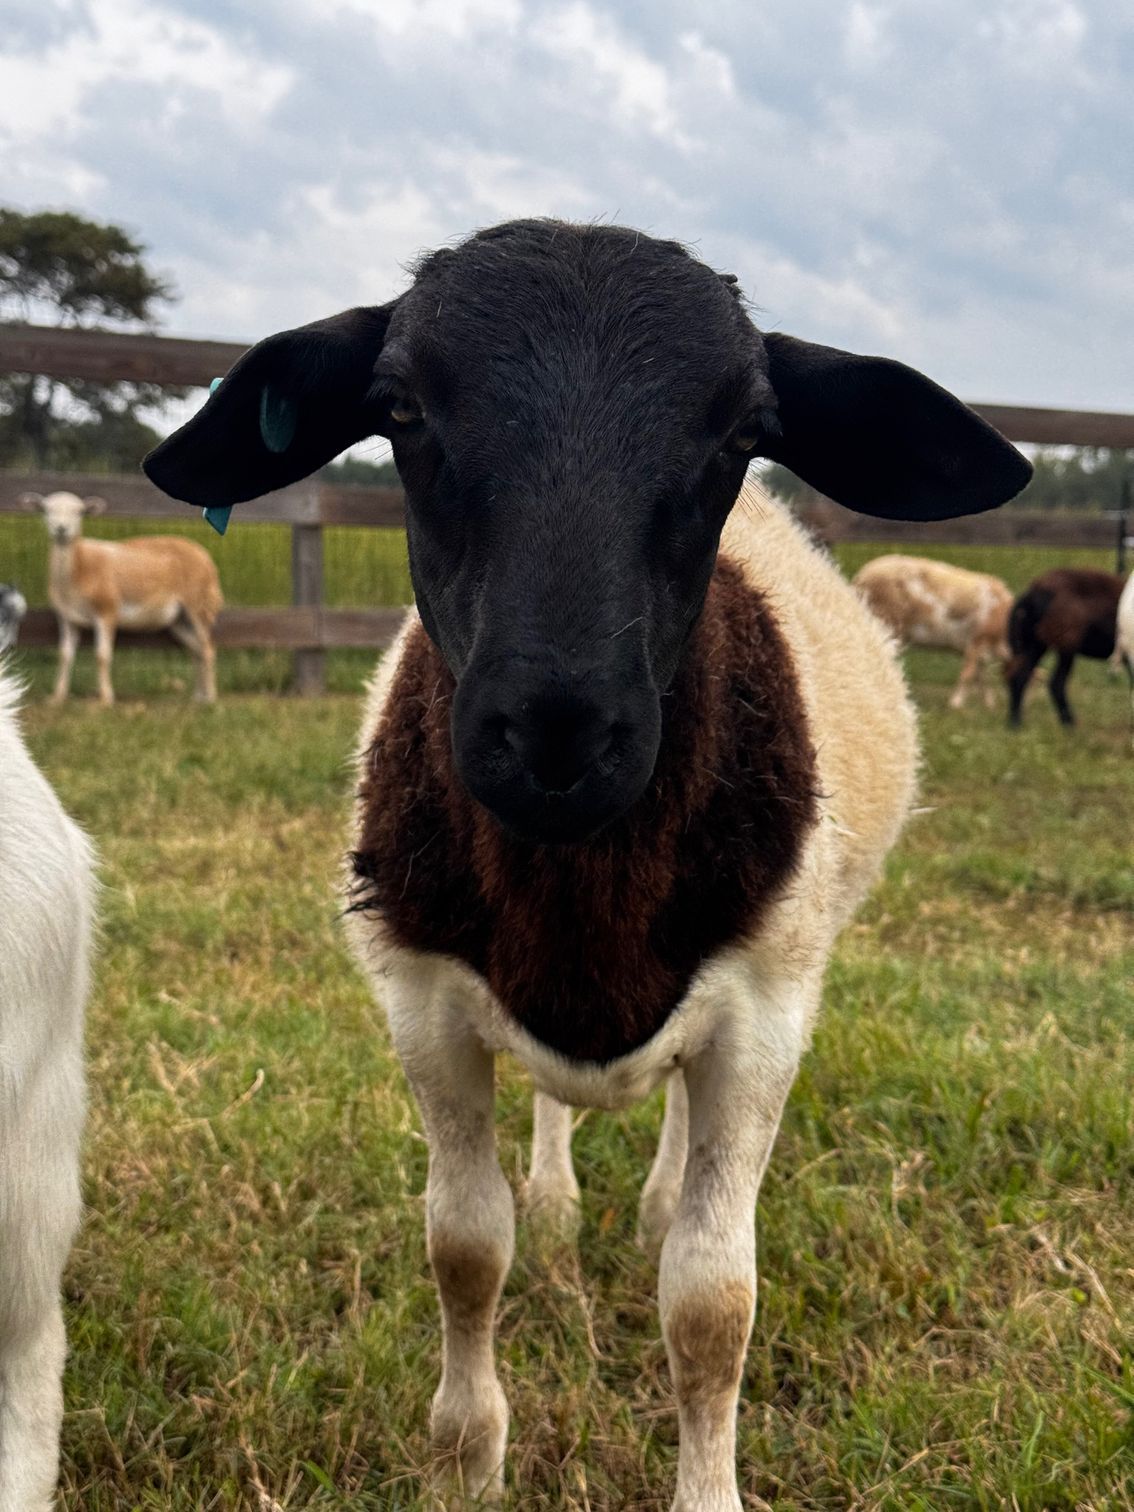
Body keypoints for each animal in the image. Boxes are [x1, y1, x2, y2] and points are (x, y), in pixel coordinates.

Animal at [21, 491, 223, 706]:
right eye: (45, 509)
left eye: (80, 512)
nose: (61, 529)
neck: (80, 564)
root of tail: (205, 555)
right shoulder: (67, 618)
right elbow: (64, 655)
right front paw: (57, 697)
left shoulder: (107, 611)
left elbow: (102, 656)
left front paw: (105, 699)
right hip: (178, 619)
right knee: (196, 650)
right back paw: (198, 696)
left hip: (199, 605)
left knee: (208, 649)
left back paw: (210, 697)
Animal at [852, 553, 1014, 709]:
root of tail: (861, 577)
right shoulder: (977, 640)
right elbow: (968, 673)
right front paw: (955, 705)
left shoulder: (978, 647)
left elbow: (981, 677)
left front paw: (989, 705)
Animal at [1006, 566, 1127, 727]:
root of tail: (1031, 594)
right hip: (1065, 646)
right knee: (1056, 684)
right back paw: (1069, 724)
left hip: (1036, 644)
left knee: (1020, 676)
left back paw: (1015, 723)